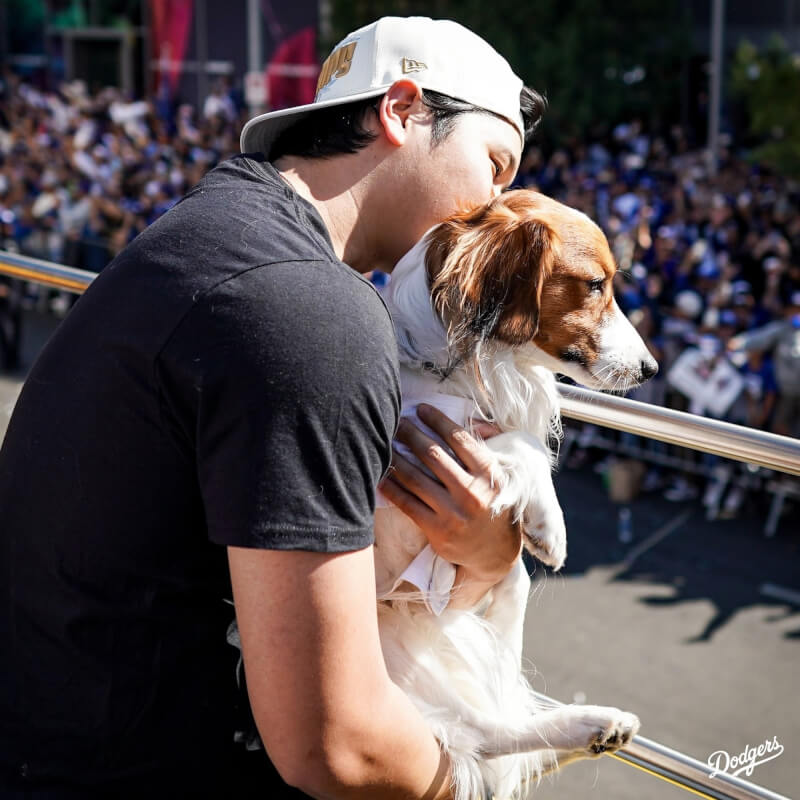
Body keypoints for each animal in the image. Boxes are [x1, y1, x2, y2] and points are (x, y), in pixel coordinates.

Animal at [376, 191, 656, 800]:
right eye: (595, 284)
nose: (652, 369)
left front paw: (541, 522)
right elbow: (522, 443)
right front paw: (552, 527)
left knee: (493, 724)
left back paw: (596, 727)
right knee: (482, 738)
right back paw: (590, 725)